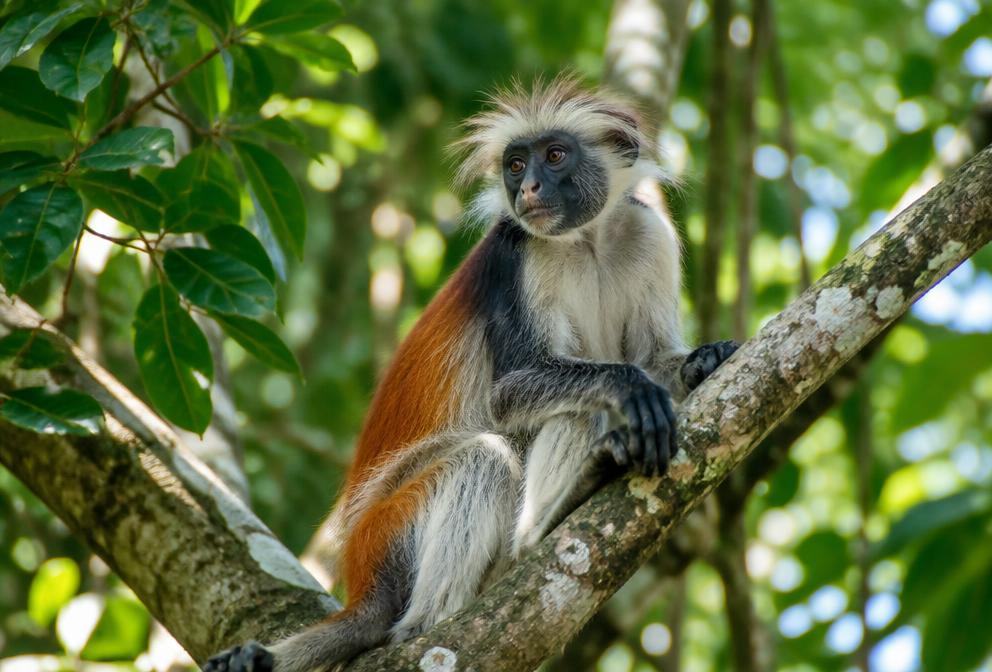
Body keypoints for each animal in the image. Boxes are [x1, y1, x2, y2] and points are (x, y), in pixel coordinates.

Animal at [204, 76, 738, 672]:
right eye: (515, 165)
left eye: (555, 156)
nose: (528, 188)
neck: (587, 240)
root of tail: (360, 580)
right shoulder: (515, 256)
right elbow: (516, 394)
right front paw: (633, 386)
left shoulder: (644, 231)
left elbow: (657, 355)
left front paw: (705, 360)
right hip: (392, 529)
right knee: (506, 446)